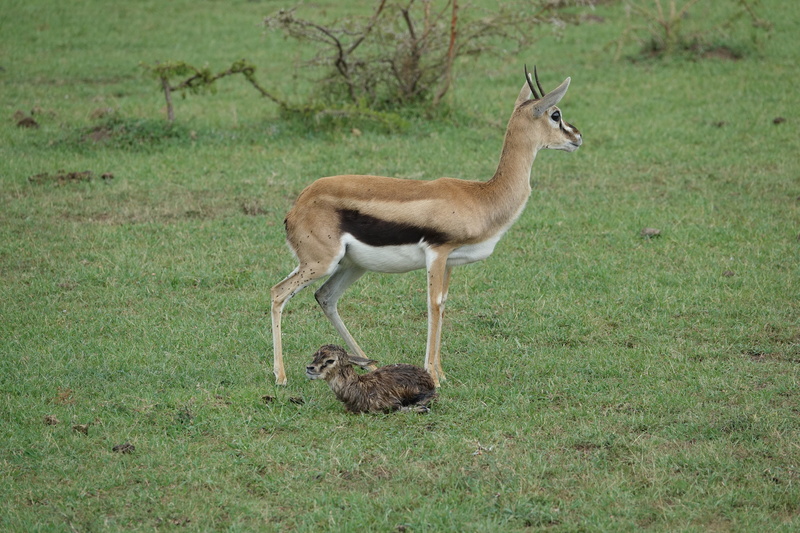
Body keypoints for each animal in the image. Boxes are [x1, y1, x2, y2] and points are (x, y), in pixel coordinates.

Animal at [271, 65, 582, 386]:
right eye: (555, 114)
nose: (577, 137)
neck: (481, 197)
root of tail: (298, 204)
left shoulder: (450, 261)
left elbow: (443, 305)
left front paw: (440, 371)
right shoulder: (437, 253)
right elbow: (433, 305)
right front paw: (433, 376)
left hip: (352, 265)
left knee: (325, 297)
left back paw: (369, 365)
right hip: (321, 263)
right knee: (277, 293)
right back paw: (281, 376)